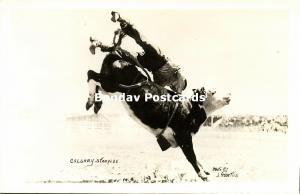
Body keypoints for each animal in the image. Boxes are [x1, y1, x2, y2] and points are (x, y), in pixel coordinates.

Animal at [87, 50, 232, 181]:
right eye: (213, 92)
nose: (229, 94)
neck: (190, 108)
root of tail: (120, 59)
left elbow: (196, 158)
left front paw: (205, 170)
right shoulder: (183, 135)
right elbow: (191, 156)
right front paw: (202, 175)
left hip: (109, 87)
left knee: (95, 79)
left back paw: (95, 103)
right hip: (112, 85)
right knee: (91, 75)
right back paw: (90, 101)